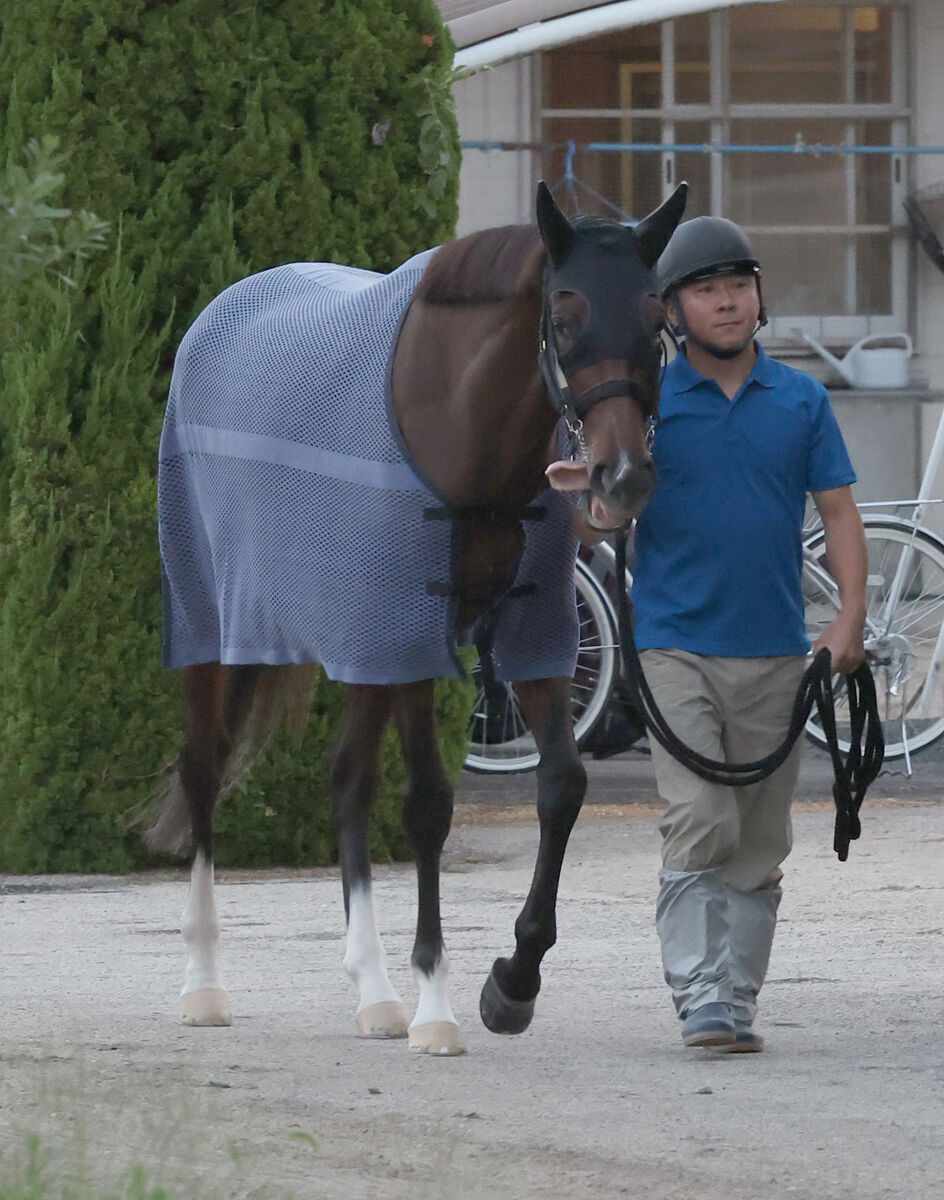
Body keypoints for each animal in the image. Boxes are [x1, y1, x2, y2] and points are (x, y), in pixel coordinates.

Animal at [151, 177, 690, 1051]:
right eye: (565, 314)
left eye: (656, 319)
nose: (622, 477)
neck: (462, 431)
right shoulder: (407, 633)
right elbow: (429, 805)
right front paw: (438, 1006)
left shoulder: (528, 636)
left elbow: (563, 786)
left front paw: (512, 981)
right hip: (217, 628)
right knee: (203, 768)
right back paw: (204, 984)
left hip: (359, 645)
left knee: (346, 780)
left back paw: (373, 993)